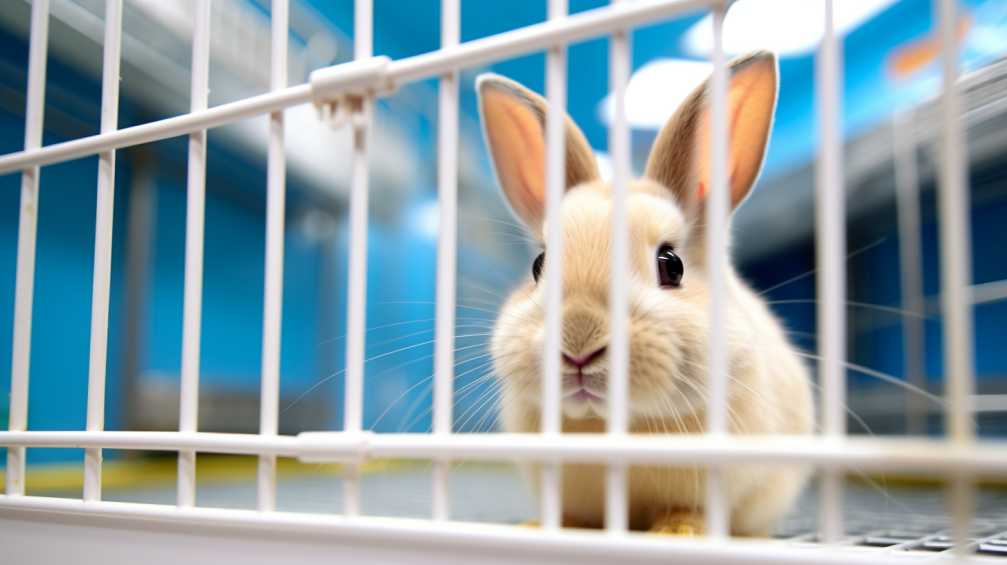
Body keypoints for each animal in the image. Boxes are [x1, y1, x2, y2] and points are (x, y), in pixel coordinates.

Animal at [477, 50, 814, 536]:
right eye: (539, 265)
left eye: (671, 265)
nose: (578, 344)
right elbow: (568, 515)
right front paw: (539, 528)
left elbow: (688, 511)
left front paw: (676, 534)